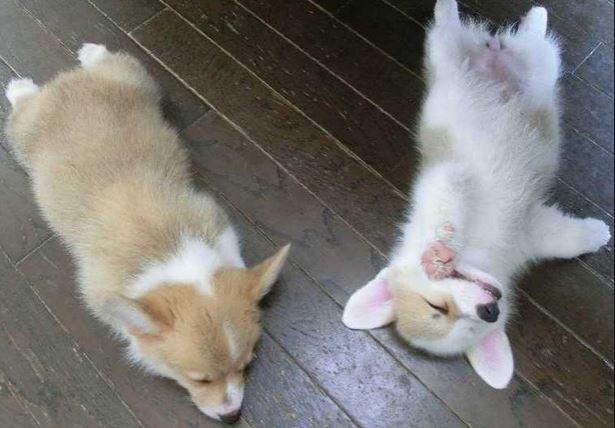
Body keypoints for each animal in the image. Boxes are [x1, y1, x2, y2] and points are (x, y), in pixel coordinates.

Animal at [3, 42, 292, 422]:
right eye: (199, 379)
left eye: (246, 365)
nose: (231, 417)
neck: (170, 250)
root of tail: (66, 82)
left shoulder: (214, 222)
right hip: (20, 135)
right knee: (21, 109)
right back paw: (20, 88)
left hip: (138, 78)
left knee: (112, 60)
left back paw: (91, 53)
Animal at [342, 0, 612, 388]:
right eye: (467, 324)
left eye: (435, 306)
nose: (489, 310)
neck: (484, 253)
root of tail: (493, 51)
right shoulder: (530, 229)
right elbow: (563, 238)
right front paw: (598, 233)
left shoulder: (450, 180)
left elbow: (446, 216)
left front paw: (440, 249)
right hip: (523, 64)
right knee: (529, 41)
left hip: (452, 55)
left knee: (457, 28)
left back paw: (460, 7)